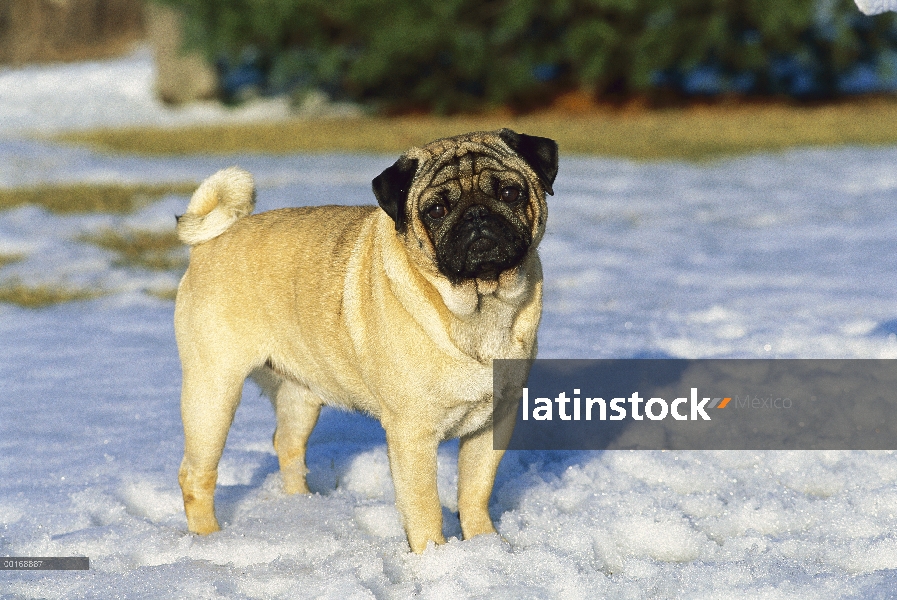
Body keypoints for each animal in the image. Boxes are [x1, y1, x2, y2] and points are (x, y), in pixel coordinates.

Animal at [172, 129, 556, 552]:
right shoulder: (412, 435)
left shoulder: (493, 421)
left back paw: (300, 509)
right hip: (213, 393)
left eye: (510, 193)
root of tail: (214, 239)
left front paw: (485, 546)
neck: (480, 308)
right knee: (196, 475)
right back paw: (208, 539)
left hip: (300, 396)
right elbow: (425, 510)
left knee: (287, 446)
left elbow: (475, 492)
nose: (477, 216)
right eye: (436, 210)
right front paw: (435, 558)